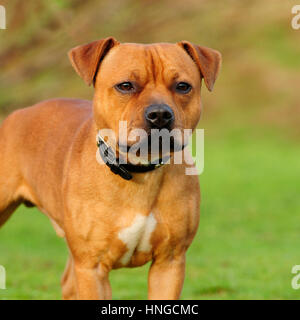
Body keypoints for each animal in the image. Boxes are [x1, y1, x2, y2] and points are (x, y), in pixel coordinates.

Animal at [0, 38, 220, 300]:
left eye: (183, 86)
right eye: (125, 86)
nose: (159, 114)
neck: (138, 171)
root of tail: (16, 114)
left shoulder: (169, 263)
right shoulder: (92, 268)